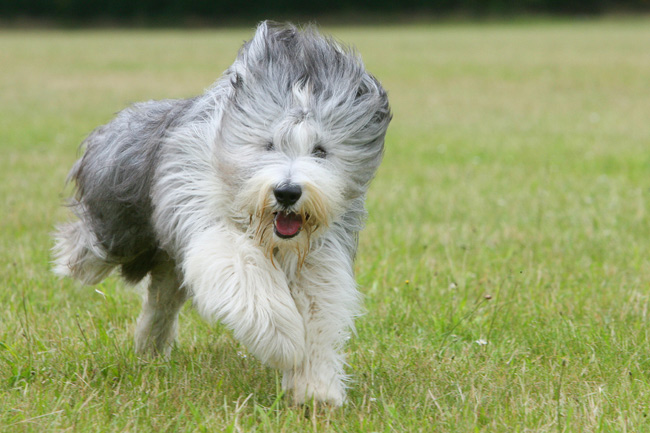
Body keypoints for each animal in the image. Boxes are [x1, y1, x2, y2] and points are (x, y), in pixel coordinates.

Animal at [52, 20, 390, 404]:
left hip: (167, 261)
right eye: (268, 144)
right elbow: (241, 267)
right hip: (118, 227)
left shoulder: (320, 252)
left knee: (161, 298)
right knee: (94, 249)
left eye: (320, 150)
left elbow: (319, 307)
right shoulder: (203, 211)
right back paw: (70, 261)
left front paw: (316, 388)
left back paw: (150, 348)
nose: (287, 192)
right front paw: (284, 340)